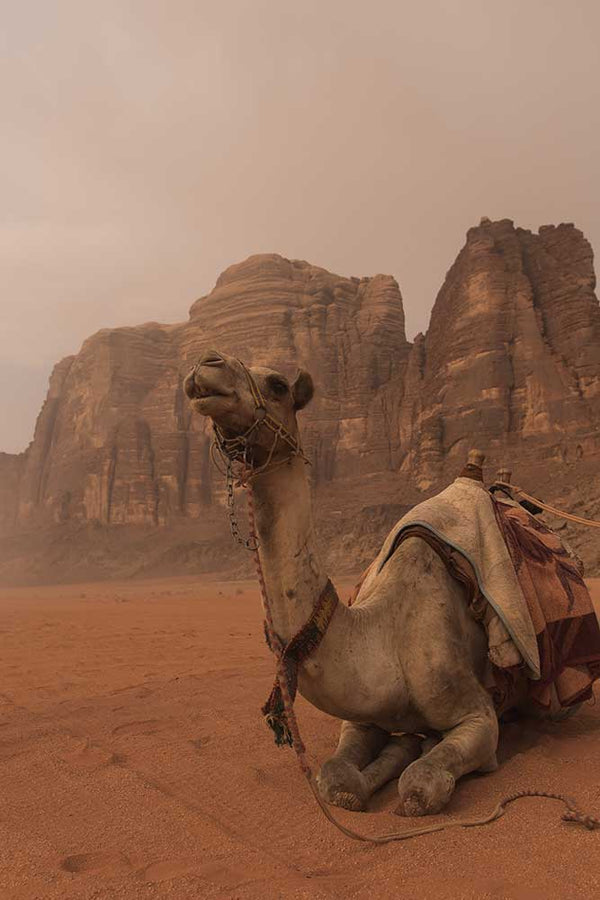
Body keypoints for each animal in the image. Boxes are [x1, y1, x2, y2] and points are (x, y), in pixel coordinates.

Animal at [185, 350, 504, 816]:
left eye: (278, 385)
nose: (207, 364)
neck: (382, 641)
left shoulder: (478, 714)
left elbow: (420, 784)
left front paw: (420, 769)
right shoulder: (360, 717)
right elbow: (336, 779)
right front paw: (368, 776)